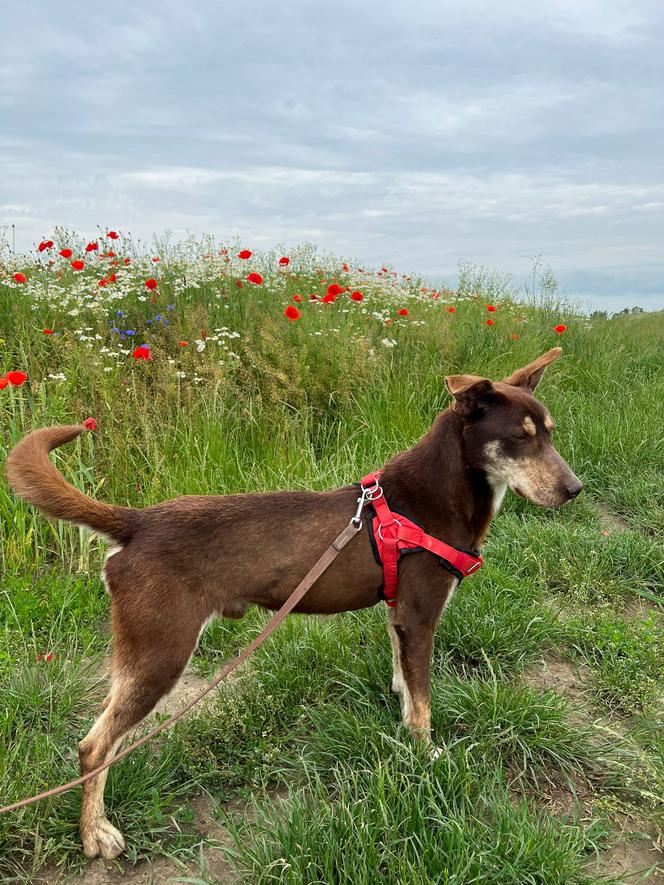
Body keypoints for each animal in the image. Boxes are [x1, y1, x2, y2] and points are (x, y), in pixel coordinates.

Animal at [5, 344, 580, 856]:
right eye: (518, 438)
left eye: (551, 433)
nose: (574, 489)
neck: (432, 496)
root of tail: (138, 522)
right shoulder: (420, 618)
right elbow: (423, 708)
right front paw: (426, 759)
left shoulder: (398, 617)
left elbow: (404, 683)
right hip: (159, 656)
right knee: (94, 747)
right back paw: (93, 834)